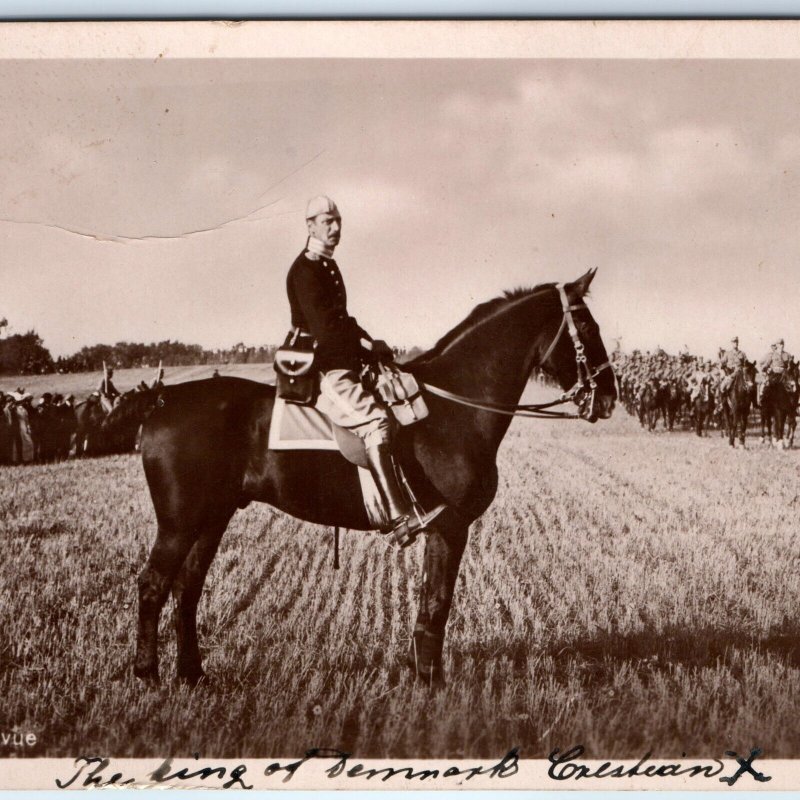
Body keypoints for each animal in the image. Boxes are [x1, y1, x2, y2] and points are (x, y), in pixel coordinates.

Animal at [134, 272, 616, 684]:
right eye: (587, 326)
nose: (609, 397)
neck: (453, 407)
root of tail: (159, 405)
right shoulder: (450, 526)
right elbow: (436, 603)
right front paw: (430, 680)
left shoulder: (446, 529)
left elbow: (431, 601)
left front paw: (424, 672)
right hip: (180, 524)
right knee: (153, 585)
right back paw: (148, 674)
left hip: (211, 519)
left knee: (187, 590)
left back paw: (192, 675)